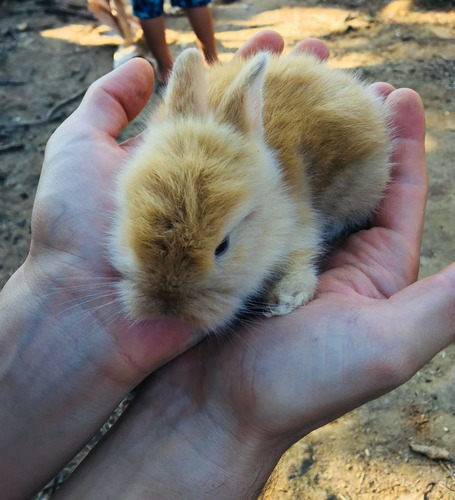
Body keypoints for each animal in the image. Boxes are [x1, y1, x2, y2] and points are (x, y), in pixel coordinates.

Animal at [110, 48, 392, 334]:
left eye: (222, 246)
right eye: (131, 221)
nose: (167, 305)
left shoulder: (299, 225)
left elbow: (301, 258)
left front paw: (285, 299)